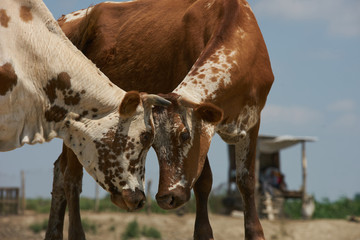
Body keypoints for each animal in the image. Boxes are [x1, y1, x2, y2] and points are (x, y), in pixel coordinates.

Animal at [47, 0, 272, 239]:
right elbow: (203, 181)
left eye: (185, 135)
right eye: (153, 143)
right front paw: (203, 232)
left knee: (60, 171)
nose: (166, 197)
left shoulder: (252, 122)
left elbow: (246, 180)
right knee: (71, 178)